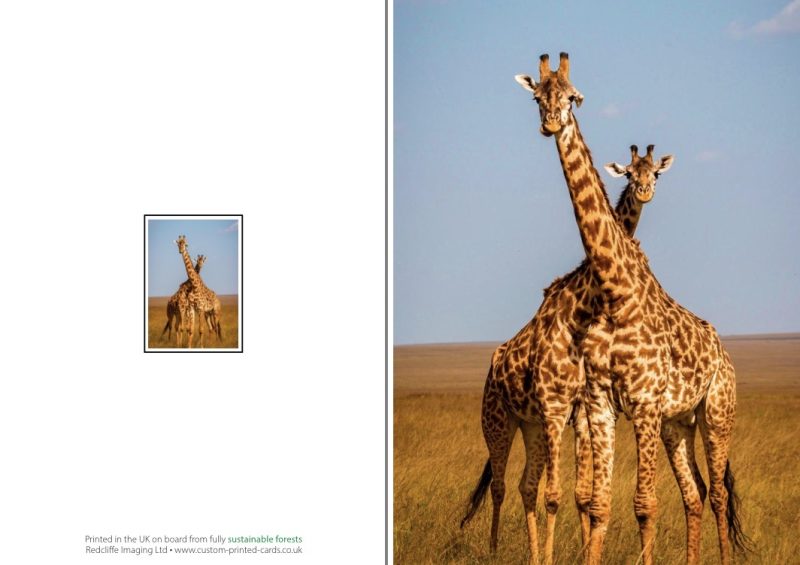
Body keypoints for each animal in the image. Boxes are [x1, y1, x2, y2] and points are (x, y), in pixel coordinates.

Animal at [460, 145, 673, 565]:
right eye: (629, 174)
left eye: (655, 173)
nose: (643, 191)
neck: (586, 301)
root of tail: (494, 364)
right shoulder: (564, 410)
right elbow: (560, 495)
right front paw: (560, 553)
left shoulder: (579, 413)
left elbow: (582, 495)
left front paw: (580, 548)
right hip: (498, 418)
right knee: (500, 485)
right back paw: (495, 550)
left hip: (531, 424)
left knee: (526, 485)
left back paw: (530, 552)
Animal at [514, 53, 748, 564]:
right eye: (538, 96)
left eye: (575, 96)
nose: (551, 122)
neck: (614, 292)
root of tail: (724, 353)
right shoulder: (601, 402)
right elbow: (600, 502)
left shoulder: (642, 402)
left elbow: (644, 504)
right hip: (677, 423)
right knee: (695, 493)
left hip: (717, 412)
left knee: (719, 493)